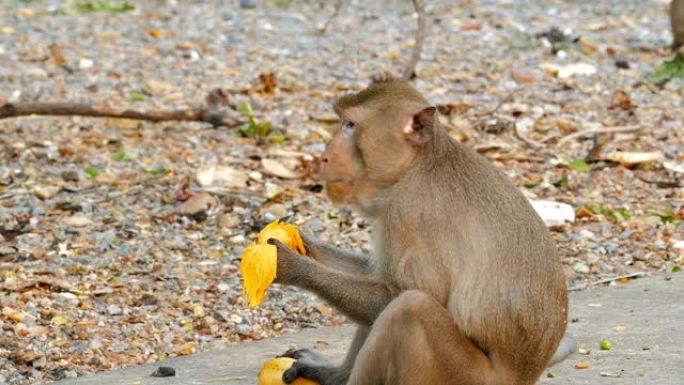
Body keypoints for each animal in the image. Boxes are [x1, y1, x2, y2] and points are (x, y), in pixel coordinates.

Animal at [268, 76, 572, 384]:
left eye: (350, 125)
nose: (325, 157)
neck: (418, 165)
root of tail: (525, 375)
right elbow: (377, 278)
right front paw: (304, 244)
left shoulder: (407, 211)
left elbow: (398, 293)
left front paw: (290, 265)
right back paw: (335, 375)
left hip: (464, 375)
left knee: (409, 307)